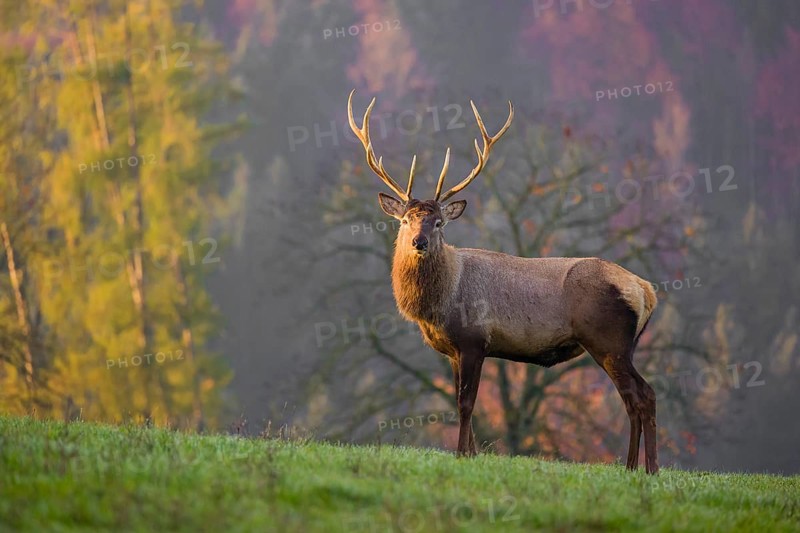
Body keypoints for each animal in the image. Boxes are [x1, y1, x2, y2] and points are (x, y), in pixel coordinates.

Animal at [347, 90, 660, 474]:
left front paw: (461, 455)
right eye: (405, 220)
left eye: (439, 223)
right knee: (635, 397)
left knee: (642, 395)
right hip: (623, 345)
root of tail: (646, 290)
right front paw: (472, 453)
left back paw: (649, 468)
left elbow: (466, 403)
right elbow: (460, 400)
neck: (440, 304)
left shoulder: (474, 340)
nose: (419, 242)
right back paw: (633, 467)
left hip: (609, 339)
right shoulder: (453, 350)